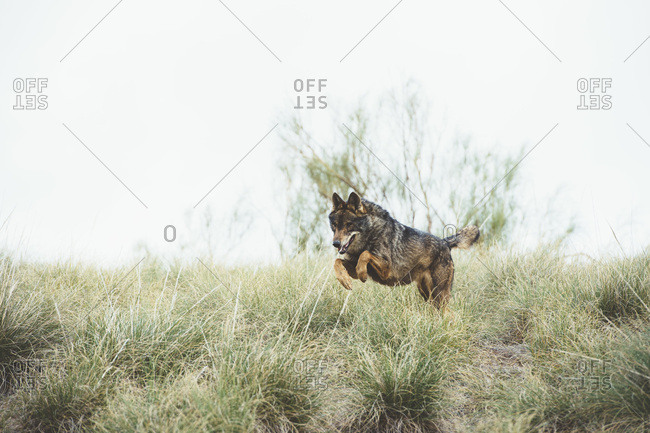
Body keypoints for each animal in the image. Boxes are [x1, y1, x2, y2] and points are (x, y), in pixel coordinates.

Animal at [329, 191, 479, 309]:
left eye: (349, 225)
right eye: (335, 225)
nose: (335, 243)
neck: (371, 234)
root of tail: (445, 242)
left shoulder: (386, 270)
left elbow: (365, 255)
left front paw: (362, 274)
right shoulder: (353, 267)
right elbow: (337, 262)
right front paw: (345, 280)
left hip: (439, 294)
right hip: (427, 294)